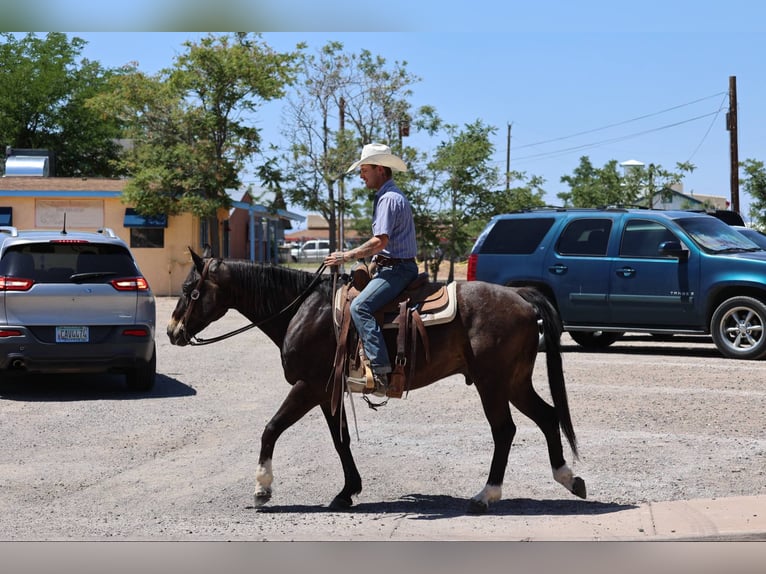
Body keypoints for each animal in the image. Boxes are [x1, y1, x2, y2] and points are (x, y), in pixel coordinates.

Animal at [167, 247, 586, 513]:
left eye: (190, 291)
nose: (171, 332)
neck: (305, 309)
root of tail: (521, 298)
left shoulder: (308, 386)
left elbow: (271, 428)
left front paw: (262, 488)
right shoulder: (327, 391)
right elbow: (341, 440)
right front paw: (347, 492)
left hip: (493, 384)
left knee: (505, 430)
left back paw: (486, 495)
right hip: (514, 382)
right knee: (548, 416)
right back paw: (569, 478)